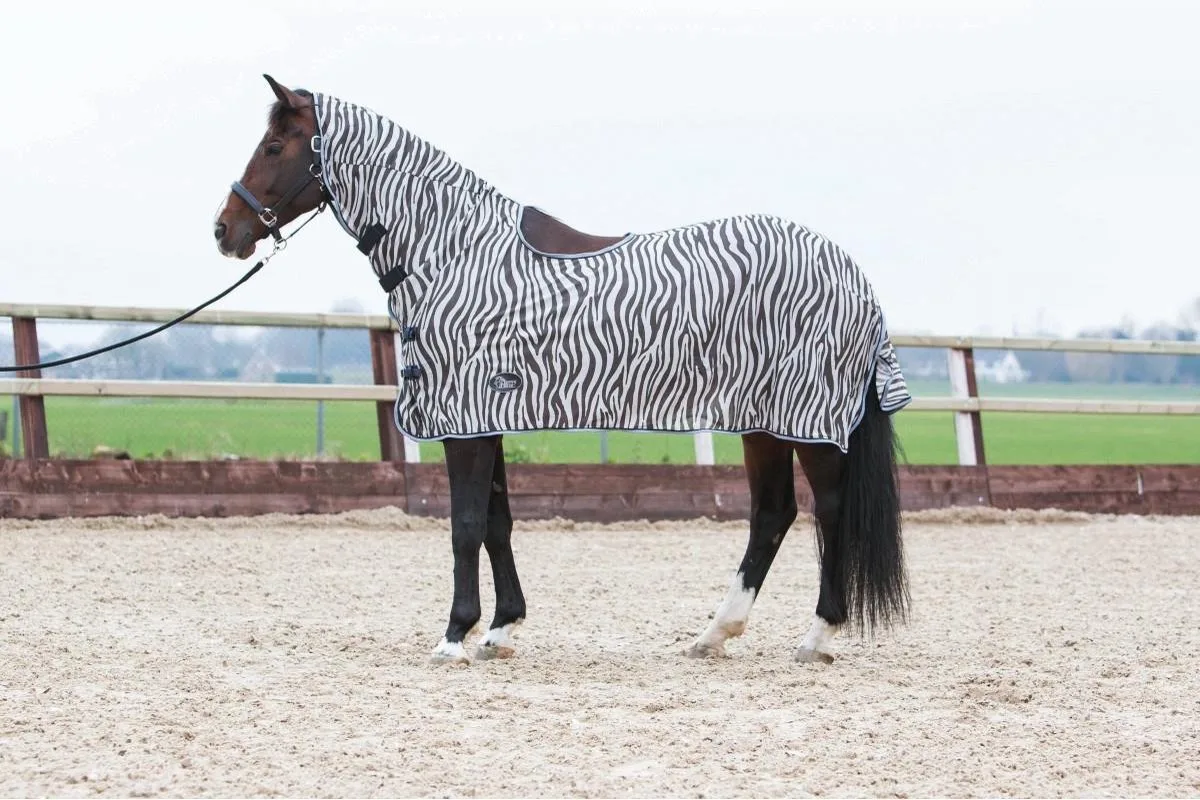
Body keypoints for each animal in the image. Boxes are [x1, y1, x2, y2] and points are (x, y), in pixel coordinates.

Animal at [215, 75, 912, 666]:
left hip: (806, 421)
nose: (225, 230)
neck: (454, 252)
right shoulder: (485, 417)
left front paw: (453, 636)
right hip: (763, 423)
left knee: (829, 510)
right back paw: (714, 634)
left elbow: (465, 526)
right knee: (773, 514)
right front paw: (500, 629)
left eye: (275, 145)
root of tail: (854, 275)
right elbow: (497, 522)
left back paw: (817, 636)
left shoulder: (464, 420)